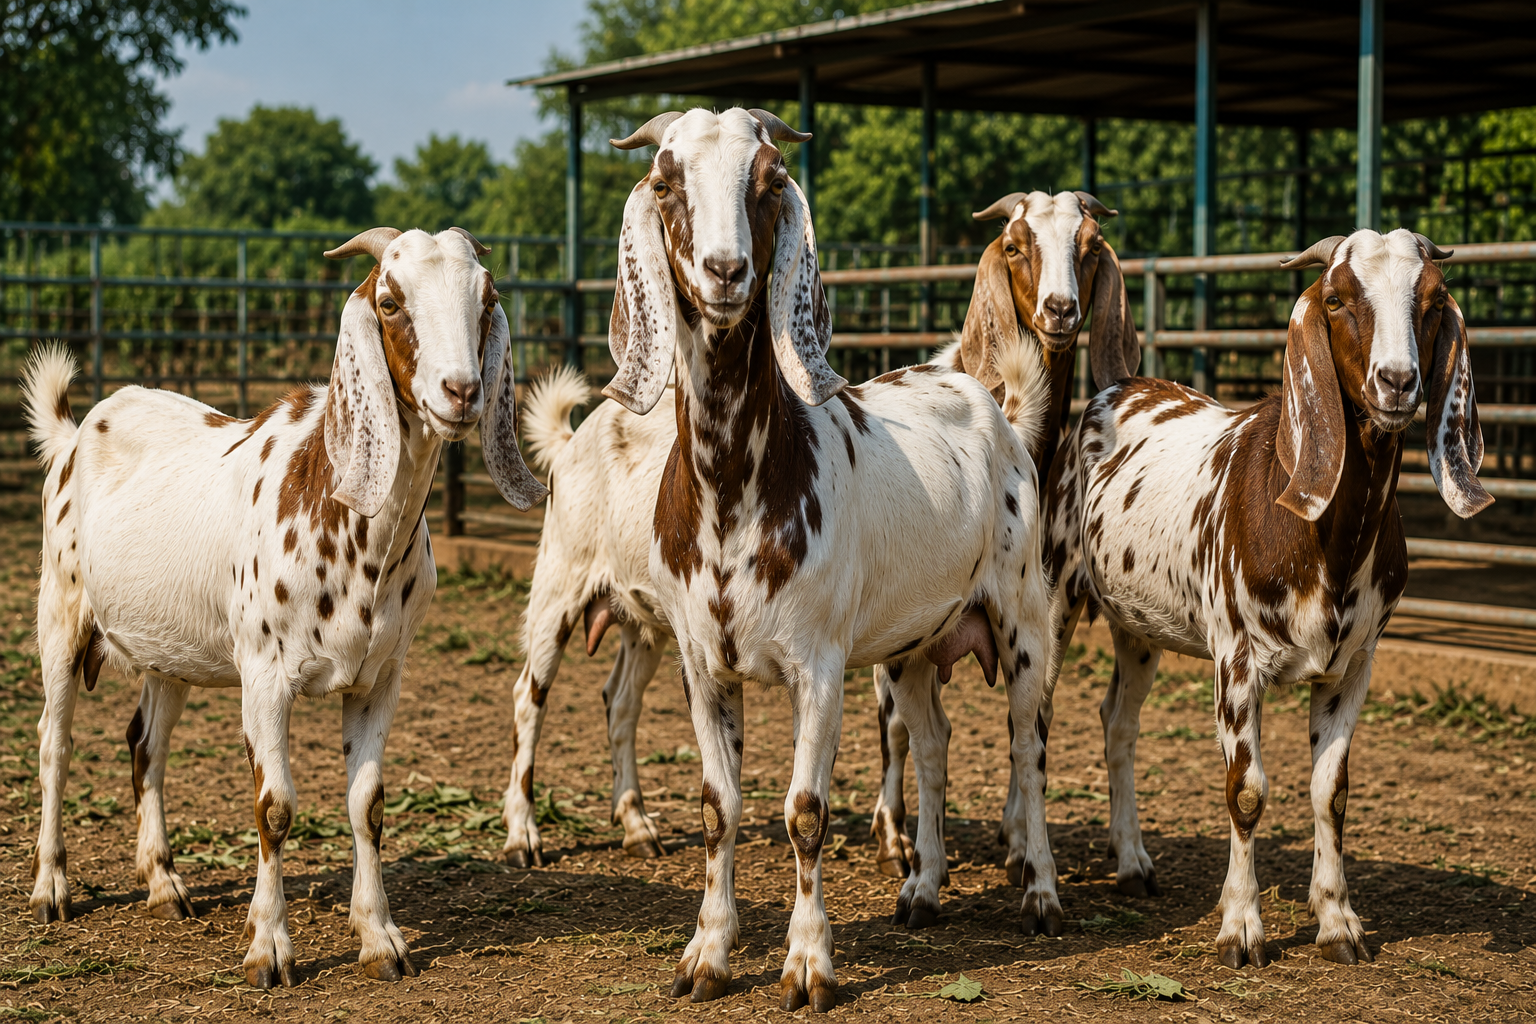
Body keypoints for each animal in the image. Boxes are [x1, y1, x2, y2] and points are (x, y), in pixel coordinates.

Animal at [21, 226, 546, 988]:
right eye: (390, 302)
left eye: (488, 295)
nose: (462, 391)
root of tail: (74, 433)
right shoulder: (265, 678)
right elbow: (275, 807)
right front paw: (268, 946)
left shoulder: (381, 675)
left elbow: (367, 804)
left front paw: (379, 938)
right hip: (60, 612)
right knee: (54, 743)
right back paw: (51, 888)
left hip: (168, 651)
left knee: (146, 745)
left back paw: (164, 885)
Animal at [601, 106, 1055, 1012]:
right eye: (665, 181)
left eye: (770, 180)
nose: (726, 270)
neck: (737, 491)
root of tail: (996, 406)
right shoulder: (703, 664)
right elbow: (719, 808)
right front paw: (707, 953)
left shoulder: (819, 666)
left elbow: (804, 811)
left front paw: (809, 963)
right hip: (914, 646)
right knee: (935, 741)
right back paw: (922, 890)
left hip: (1024, 621)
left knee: (1028, 747)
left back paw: (1042, 896)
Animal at [869, 191, 1141, 935]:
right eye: (1017, 246)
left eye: (1088, 245)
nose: (1059, 309)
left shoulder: (1050, 614)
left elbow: (1034, 728)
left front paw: (1021, 846)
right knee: (896, 728)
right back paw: (894, 834)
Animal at [1039, 229, 1489, 968]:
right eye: (1336, 298)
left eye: (1430, 301)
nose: (1396, 382)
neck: (1327, 539)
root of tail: (1116, 387)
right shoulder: (1237, 659)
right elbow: (1246, 792)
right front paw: (1242, 928)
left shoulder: (1353, 663)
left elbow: (1331, 793)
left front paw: (1337, 922)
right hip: (1051, 592)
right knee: (1035, 723)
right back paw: (1033, 873)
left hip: (1137, 624)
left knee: (1118, 722)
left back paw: (1132, 862)